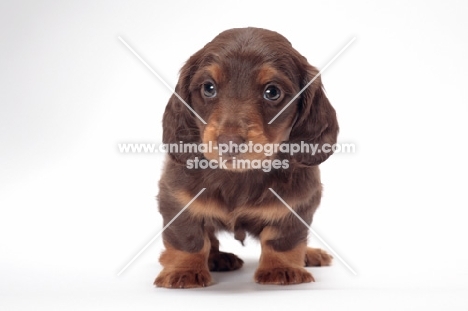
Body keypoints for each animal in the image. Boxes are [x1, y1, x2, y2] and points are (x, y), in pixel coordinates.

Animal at [155, 28, 338, 288]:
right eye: (208, 87)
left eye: (272, 92)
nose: (229, 143)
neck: (239, 175)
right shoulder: (176, 197)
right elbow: (188, 237)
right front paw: (184, 271)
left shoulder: (298, 202)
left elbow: (283, 238)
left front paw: (281, 268)